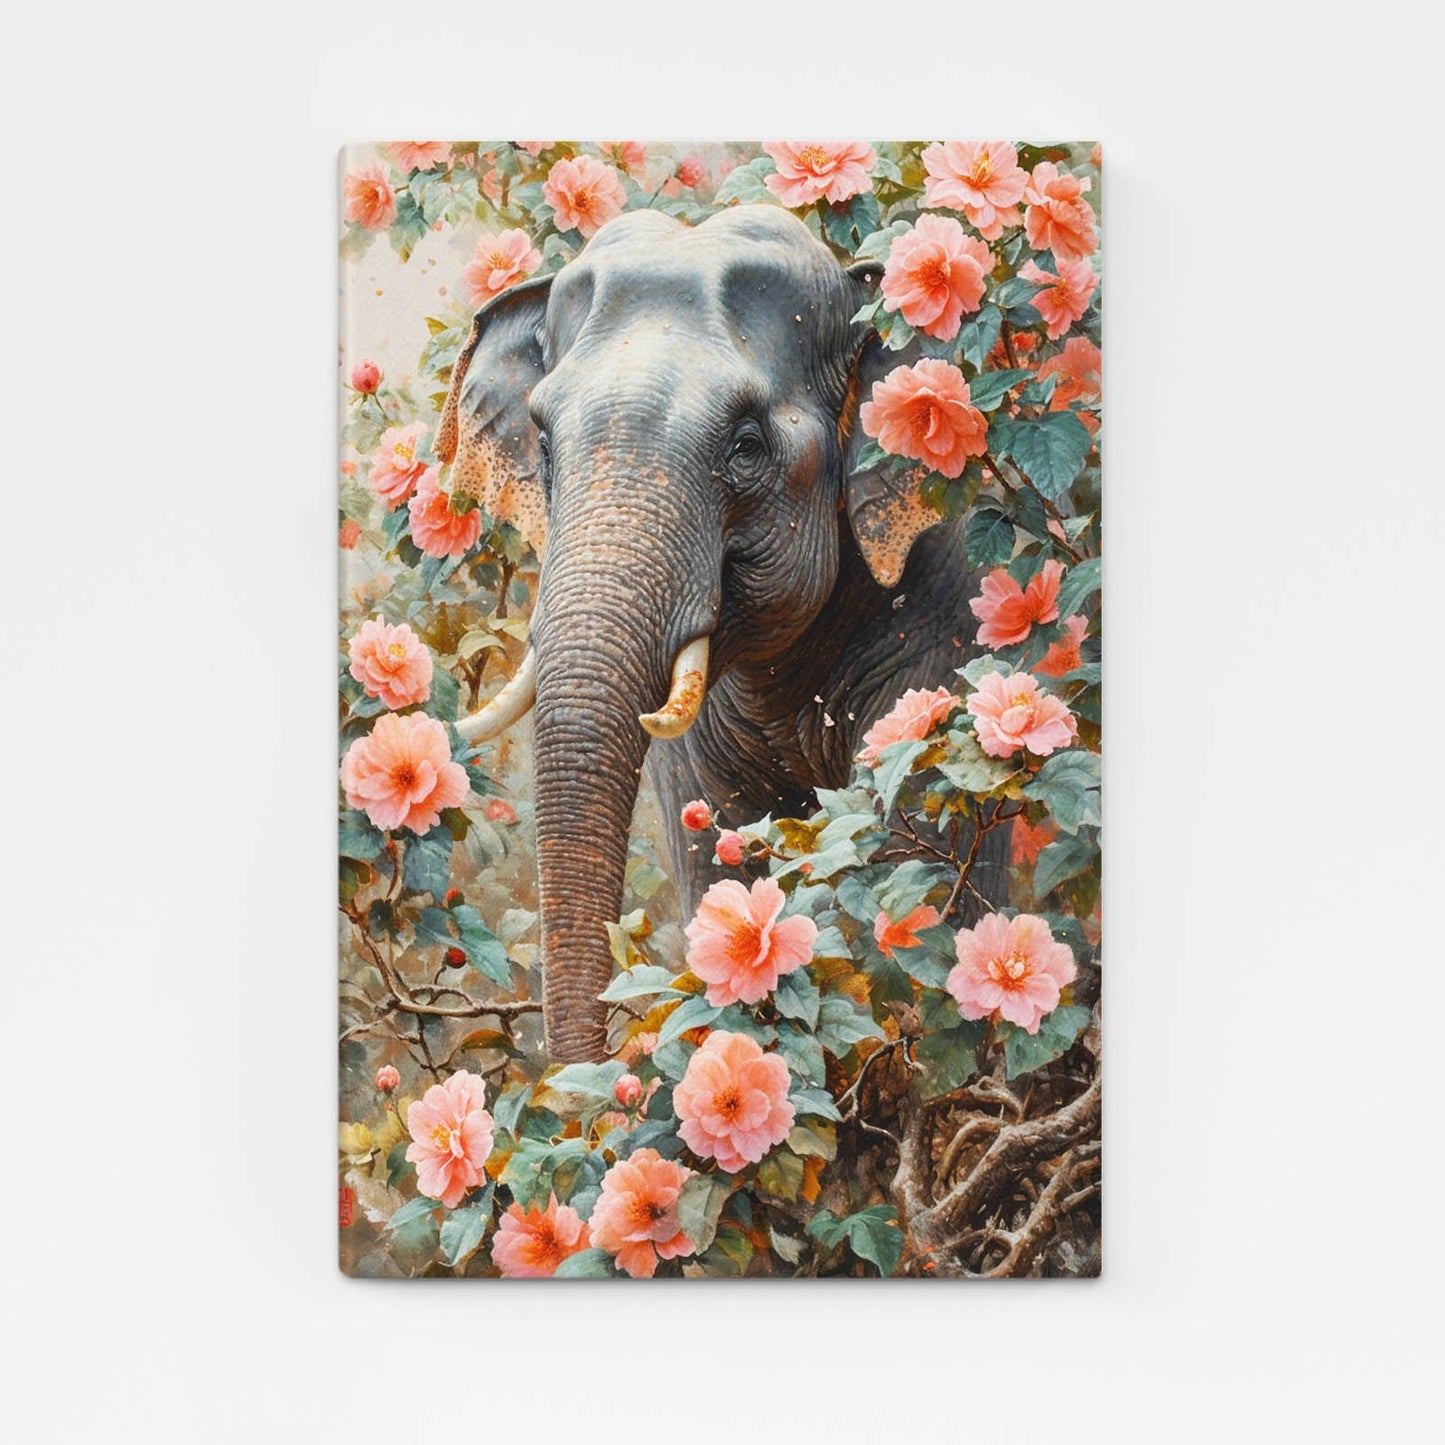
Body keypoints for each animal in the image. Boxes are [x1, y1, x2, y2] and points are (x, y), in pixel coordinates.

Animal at [436, 204, 1004, 1063]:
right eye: (542, 442)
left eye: (745, 446)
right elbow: (711, 842)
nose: (579, 1078)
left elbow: (915, 862)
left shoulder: (948, 614)